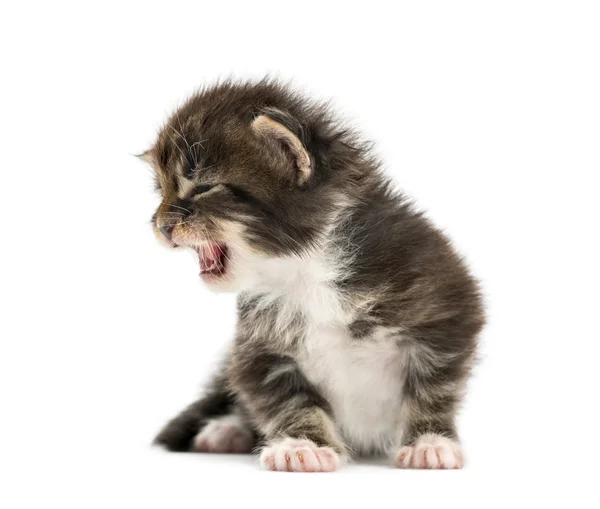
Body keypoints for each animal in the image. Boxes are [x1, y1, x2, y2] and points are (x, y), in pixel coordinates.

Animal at [143, 79, 486, 472]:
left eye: (203, 187)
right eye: (162, 192)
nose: (162, 225)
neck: (307, 271)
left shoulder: (447, 309)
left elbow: (434, 387)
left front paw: (429, 441)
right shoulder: (257, 350)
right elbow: (288, 400)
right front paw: (301, 445)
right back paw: (226, 431)